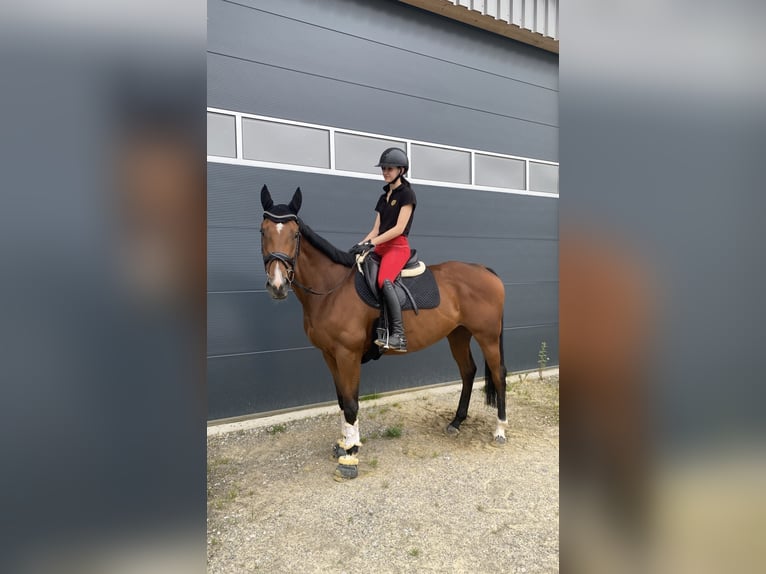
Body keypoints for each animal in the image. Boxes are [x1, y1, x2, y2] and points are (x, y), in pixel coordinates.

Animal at [259, 185, 508, 480]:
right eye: (263, 231)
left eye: (295, 235)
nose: (277, 285)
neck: (332, 289)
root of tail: (485, 270)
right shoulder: (329, 355)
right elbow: (341, 400)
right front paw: (344, 443)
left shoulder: (348, 354)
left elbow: (351, 403)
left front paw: (350, 457)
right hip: (458, 334)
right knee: (468, 371)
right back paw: (456, 421)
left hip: (487, 336)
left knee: (498, 374)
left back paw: (500, 430)